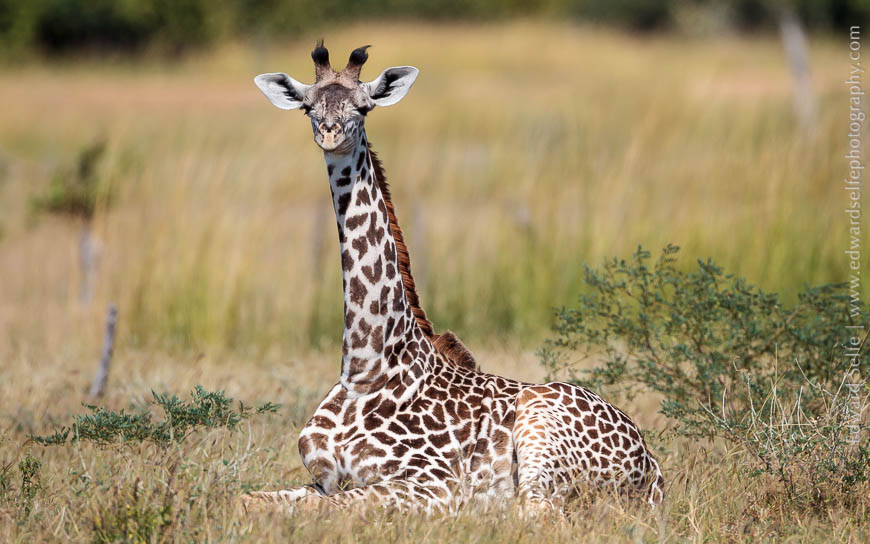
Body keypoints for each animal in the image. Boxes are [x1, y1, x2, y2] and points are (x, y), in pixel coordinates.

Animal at [242, 42, 664, 515]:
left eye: (364, 106)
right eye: (308, 106)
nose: (331, 134)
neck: (365, 370)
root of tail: (654, 471)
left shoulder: (434, 484)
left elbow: (339, 506)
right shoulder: (322, 479)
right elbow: (248, 499)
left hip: (540, 423)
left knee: (534, 509)